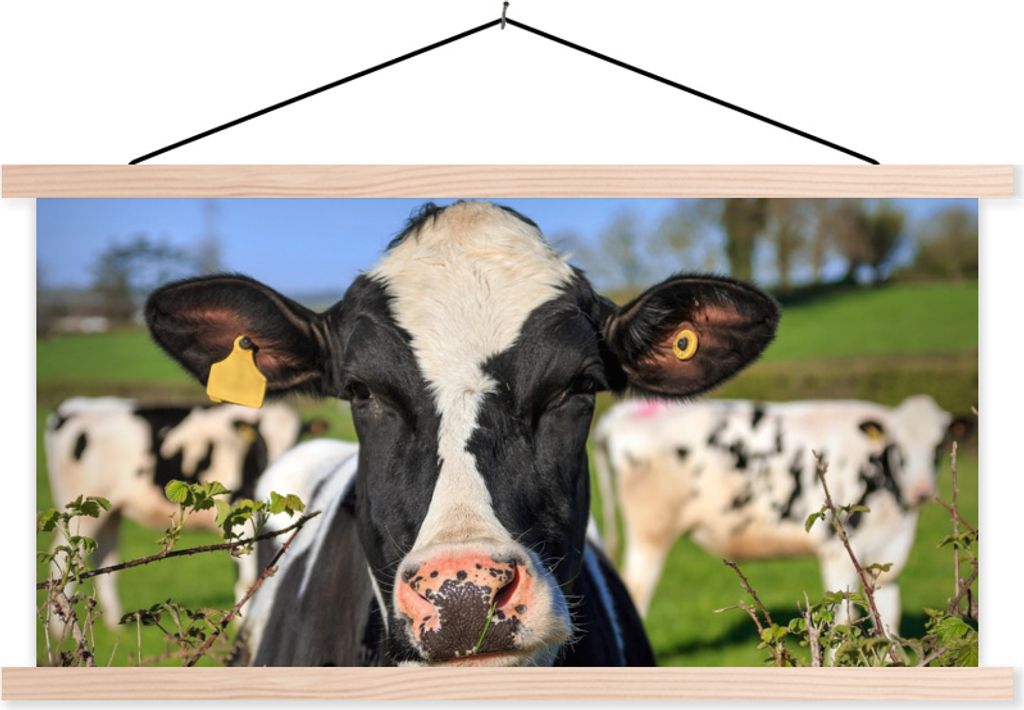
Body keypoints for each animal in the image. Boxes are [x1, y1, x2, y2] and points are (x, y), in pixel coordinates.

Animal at [43, 396, 323, 627]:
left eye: (297, 439)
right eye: (260, 440)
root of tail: (73, 407)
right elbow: (246, 577)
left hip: (110, 512)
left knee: (105, 558)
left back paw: (114, 625)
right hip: (79, 508)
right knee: (64, 557)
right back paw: (61, 628)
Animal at [593, 395, 969, 632]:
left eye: (938, 446)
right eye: (897, 448)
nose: (921, 492)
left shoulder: (885, 556)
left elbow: (888, 621)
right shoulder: (837, 552)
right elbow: (843, 621)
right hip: (652, 533)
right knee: (634, 593)